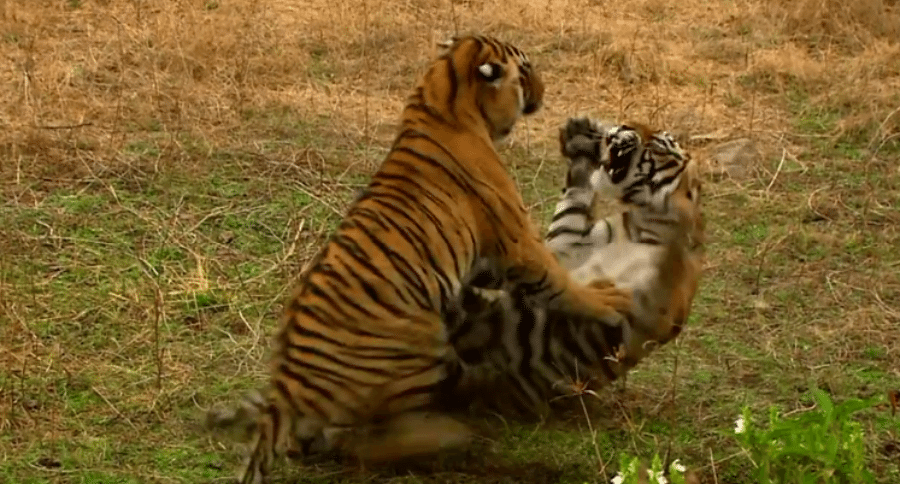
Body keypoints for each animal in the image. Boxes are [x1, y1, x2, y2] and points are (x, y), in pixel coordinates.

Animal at [204, 36, 636, 483]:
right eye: (527, 70)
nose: (544, 91)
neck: (443, 97)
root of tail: (290, 386)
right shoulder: (516, 242)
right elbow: (559, 279)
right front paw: (606, 299)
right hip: (422, 342)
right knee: (372, 439)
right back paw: (454, 434)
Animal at [441, 116, 705, 418]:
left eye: (659, 145)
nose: (627, 126)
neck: (642, 226)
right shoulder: (566, 247)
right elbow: (570, 213)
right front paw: (580, 142)